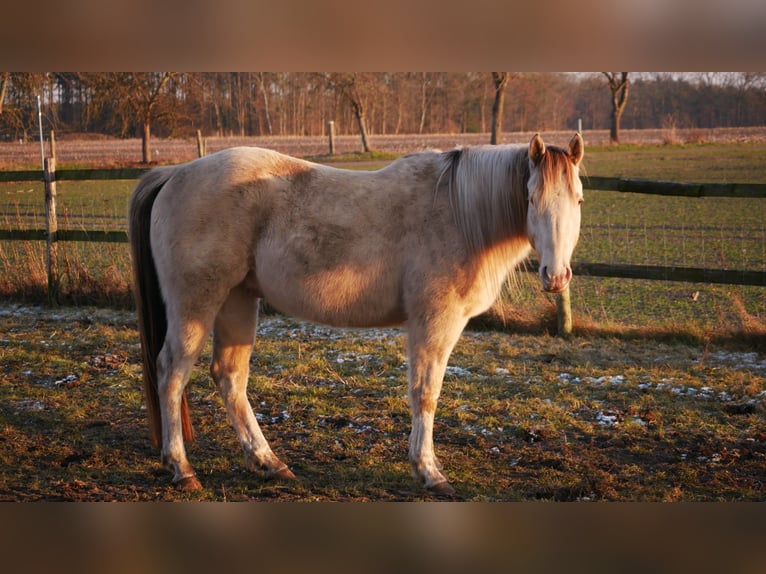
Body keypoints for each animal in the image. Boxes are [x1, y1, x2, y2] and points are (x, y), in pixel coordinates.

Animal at [128, 133, 584, 495]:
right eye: (531, 198)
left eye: (578, 199)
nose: (556, 276)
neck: (457, 212)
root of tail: (176, 173)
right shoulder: (434, 321)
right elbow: (425, 393)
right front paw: (429, 472)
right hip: (196, 304)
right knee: (172, 373)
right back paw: (182, 468)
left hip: (237, 300)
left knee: (229, 376)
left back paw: (269, 463)